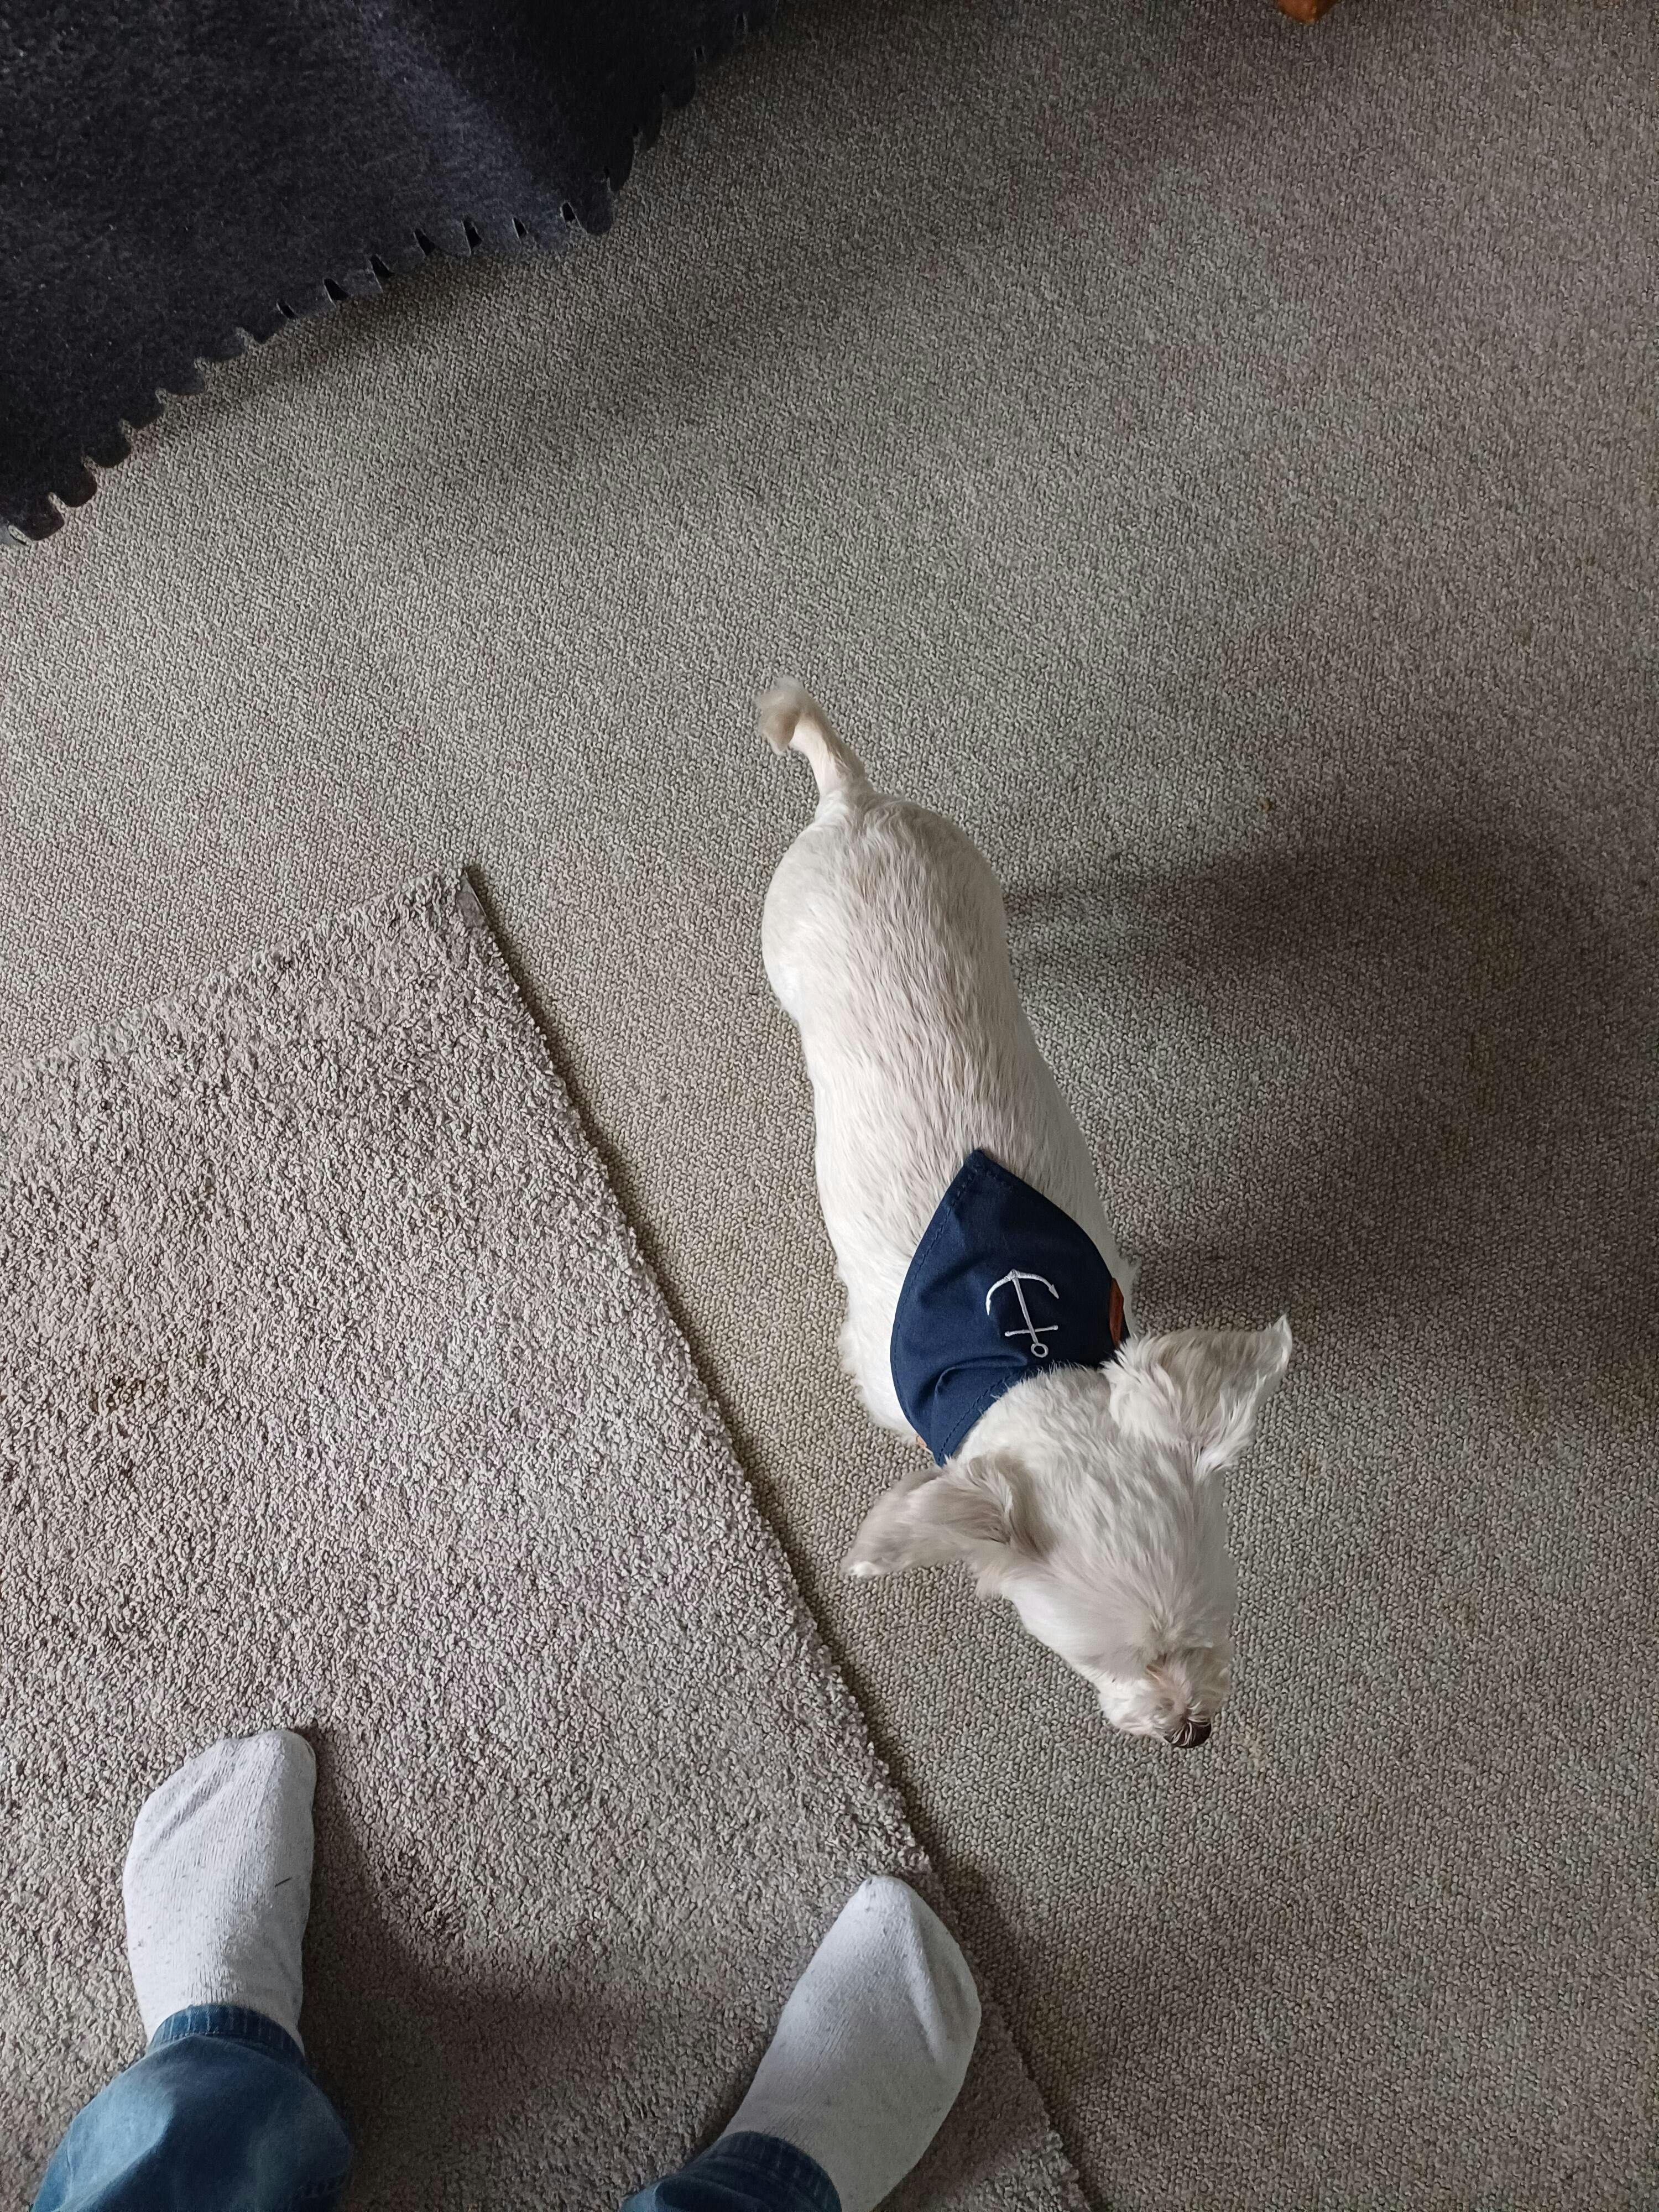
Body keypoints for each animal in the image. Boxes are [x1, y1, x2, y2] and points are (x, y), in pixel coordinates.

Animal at [759, 685, 1291, 1749]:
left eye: (1212, 1633)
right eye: (1101, 1663)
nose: (1191, 1731)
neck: (1014, 1348)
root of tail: (853, 807)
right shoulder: (887, 1376)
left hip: (962, 869)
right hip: (781, 942)